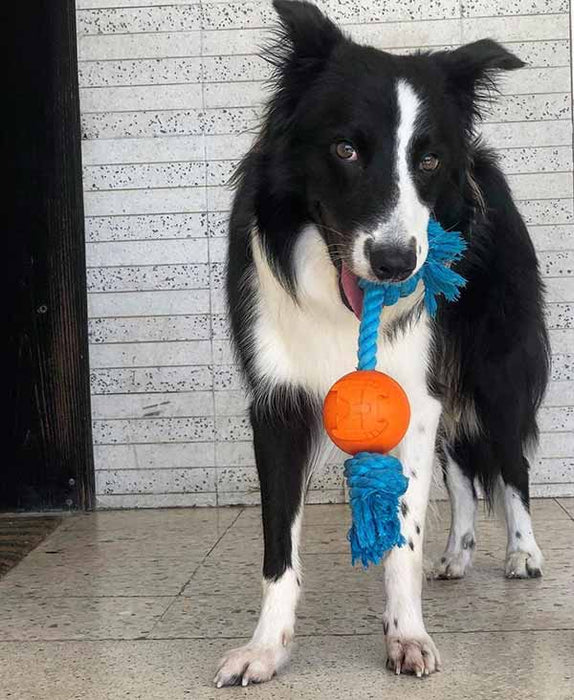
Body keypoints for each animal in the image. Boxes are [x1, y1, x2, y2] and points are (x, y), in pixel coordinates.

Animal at [215, 0, 550, 685]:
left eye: (427, 161)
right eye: (345, 149)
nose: (396, 264)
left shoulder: (413, 395)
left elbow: (404, 535)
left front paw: (407, 637)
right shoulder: (278, 403)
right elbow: (277, 543)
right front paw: (267, 648)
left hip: (495, 370)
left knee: (510, 460)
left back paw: (522, 553)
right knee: (461, 470)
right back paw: (457, 555)